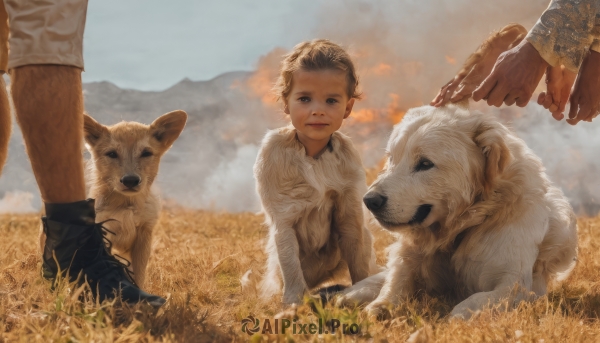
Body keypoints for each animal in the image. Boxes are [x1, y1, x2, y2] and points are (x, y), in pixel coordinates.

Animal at [82, 111, 185, 288]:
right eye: (112, 154)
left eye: (146, 153)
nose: (130, 180)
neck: (127, 206)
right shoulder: (105, 233)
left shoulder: (144, 235)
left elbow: (138, 275)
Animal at [338, 106, 576, 322]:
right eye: (391, 159)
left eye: (425, 163)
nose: (370, 201)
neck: (463, 228)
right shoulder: (411, 255)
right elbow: (395, 281)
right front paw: (380, 306)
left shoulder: (514, 281)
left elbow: (481, 298)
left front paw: (461, 314)